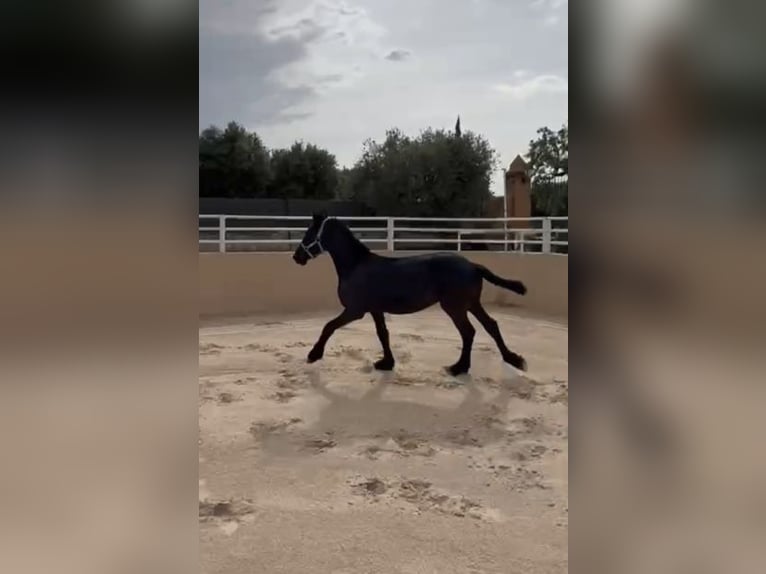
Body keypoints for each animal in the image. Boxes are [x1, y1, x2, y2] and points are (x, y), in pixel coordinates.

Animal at [294, 214, 528, 376]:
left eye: (309, 233)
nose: (297, 257)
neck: (355, 266)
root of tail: (473, 266)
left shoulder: (355, 310)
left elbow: (329, 326)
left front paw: (314, 355)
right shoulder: (375, 309)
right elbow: (383, 334)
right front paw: (386, 363)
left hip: (455, 307)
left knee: (469, 332)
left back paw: (459, 367)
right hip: (471, 304)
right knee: (491, 326)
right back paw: (512, 359)